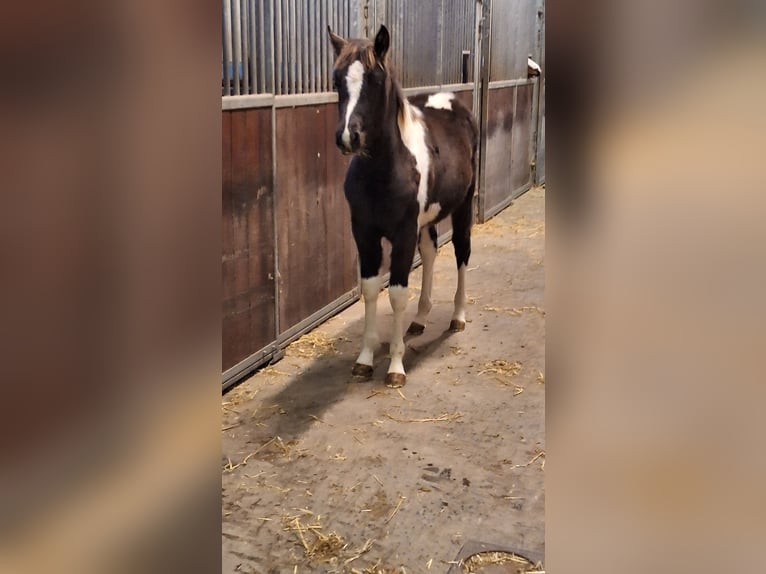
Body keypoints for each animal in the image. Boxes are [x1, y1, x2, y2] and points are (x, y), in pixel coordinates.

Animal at [328, 24, 480, 390]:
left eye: (375, 80)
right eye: (337, 80)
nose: (348, 138)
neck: (384, 171)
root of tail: (454, 102)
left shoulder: (402, 233)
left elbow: (397, 294)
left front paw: (396, 366)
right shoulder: (364, 233)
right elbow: (371, 289)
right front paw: (364, 360)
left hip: (462, 207)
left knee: (462, 251)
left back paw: (457, 317)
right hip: (425, 223)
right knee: (430, 252)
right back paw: (420, 319)